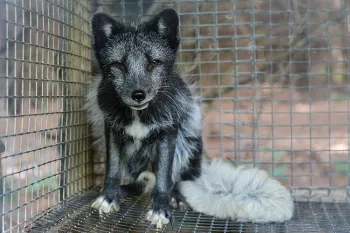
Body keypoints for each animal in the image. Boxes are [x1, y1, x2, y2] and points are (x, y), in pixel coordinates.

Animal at [85, 8, 296, 228]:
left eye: (154, 62)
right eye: (117, 64)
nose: (138, 94)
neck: (139, 115)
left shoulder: (168, 133)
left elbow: (163, 178)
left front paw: (161, 209)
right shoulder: (112, 129)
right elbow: (112, 171)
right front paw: (109, 196)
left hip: (189, 140)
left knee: (175, 180)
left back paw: (175, 197)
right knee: (138, 183)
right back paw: (125, 190)